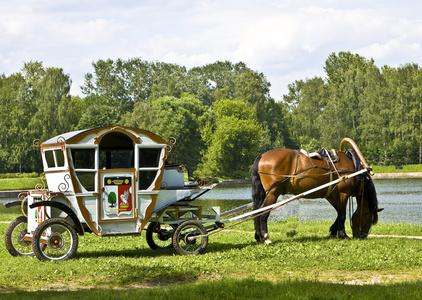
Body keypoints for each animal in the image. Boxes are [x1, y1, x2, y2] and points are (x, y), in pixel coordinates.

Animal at [252, 145, 380, 244]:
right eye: (370, 218)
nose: (363, 235)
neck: (352, 164)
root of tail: (262, 155)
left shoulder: (332, 195)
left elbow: (338, 213)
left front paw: (332, 232)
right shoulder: (343, 193)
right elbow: (342, 215)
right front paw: (343, 235)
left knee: (257, 211)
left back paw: (258, 237)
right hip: (273, 193)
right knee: (262, 212)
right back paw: (265, 237)